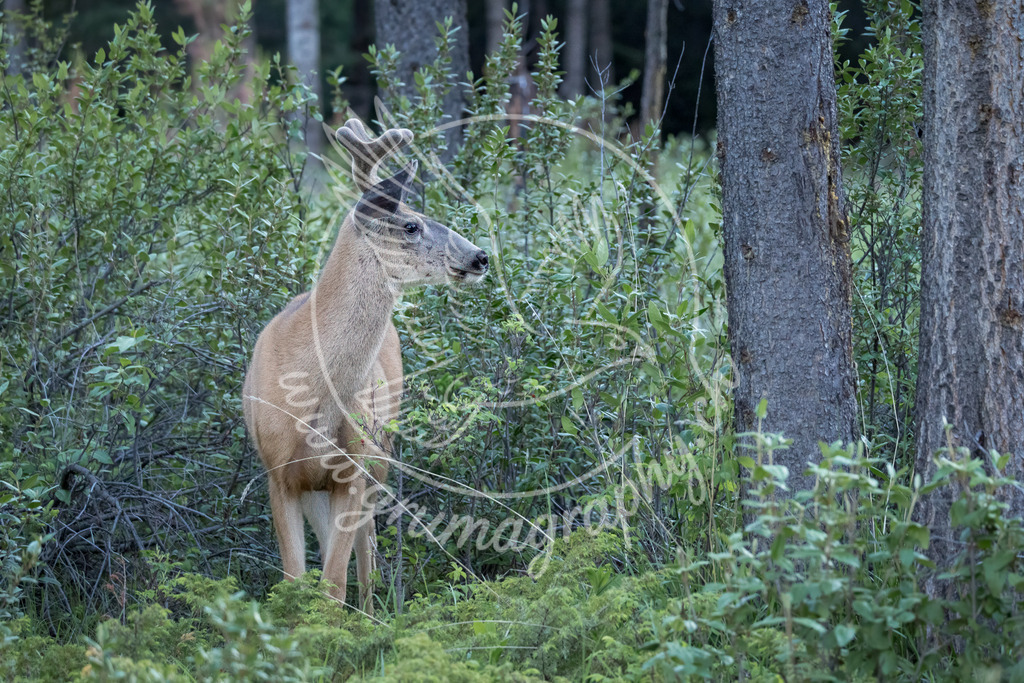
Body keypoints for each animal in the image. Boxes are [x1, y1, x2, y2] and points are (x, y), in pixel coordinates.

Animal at [242, 119, 489, 614]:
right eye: (411, 223)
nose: (480, 256)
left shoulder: (352, 470)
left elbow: (335, 584)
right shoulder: (278, 475)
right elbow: (294, 580)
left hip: (380, 456)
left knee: (367, 558)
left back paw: (374, 616)